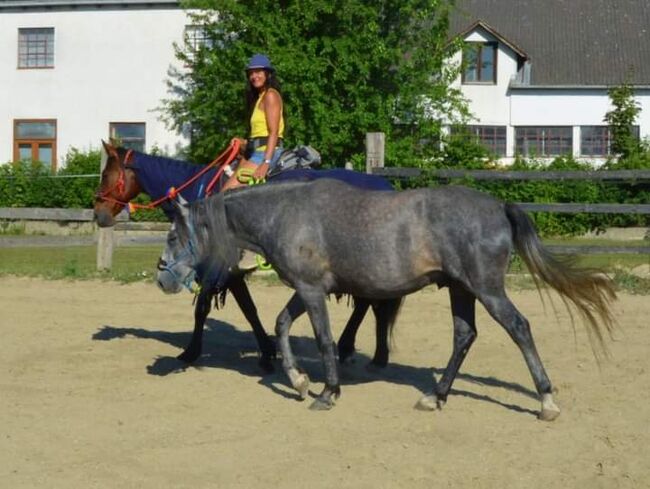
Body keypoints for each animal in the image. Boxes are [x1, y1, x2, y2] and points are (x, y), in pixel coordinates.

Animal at [156, 177, 612, 418]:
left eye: (174, 235)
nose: (163, 279)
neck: (286, 213)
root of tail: (499, 206)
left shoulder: (312, 290)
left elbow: (323, 340)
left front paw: (327, 392)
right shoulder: (308, 289)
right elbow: (281, 324)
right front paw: (299, 382)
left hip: (486, 288)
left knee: (519, 328)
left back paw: (546, 400)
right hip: (461, 290)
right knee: (464, 336)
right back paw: (435, 395)